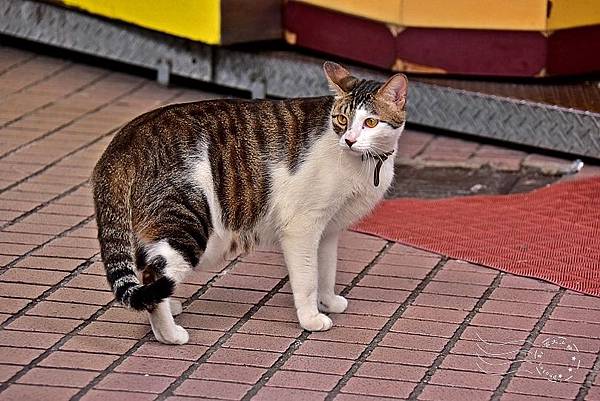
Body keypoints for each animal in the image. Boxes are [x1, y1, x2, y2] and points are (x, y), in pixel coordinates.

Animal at [92, 62, 408, 344]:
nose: (350, 140)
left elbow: (327, 271)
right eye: (342, 120)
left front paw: (328, 302)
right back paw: (170, 335)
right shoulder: (303, 226)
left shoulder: (329, 230)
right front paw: (311, 318)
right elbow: (308, 279)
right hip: (187, 222)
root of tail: (126, 138)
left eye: (370, 122)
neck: (365, 163)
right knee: (154, 272)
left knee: (150, 275)